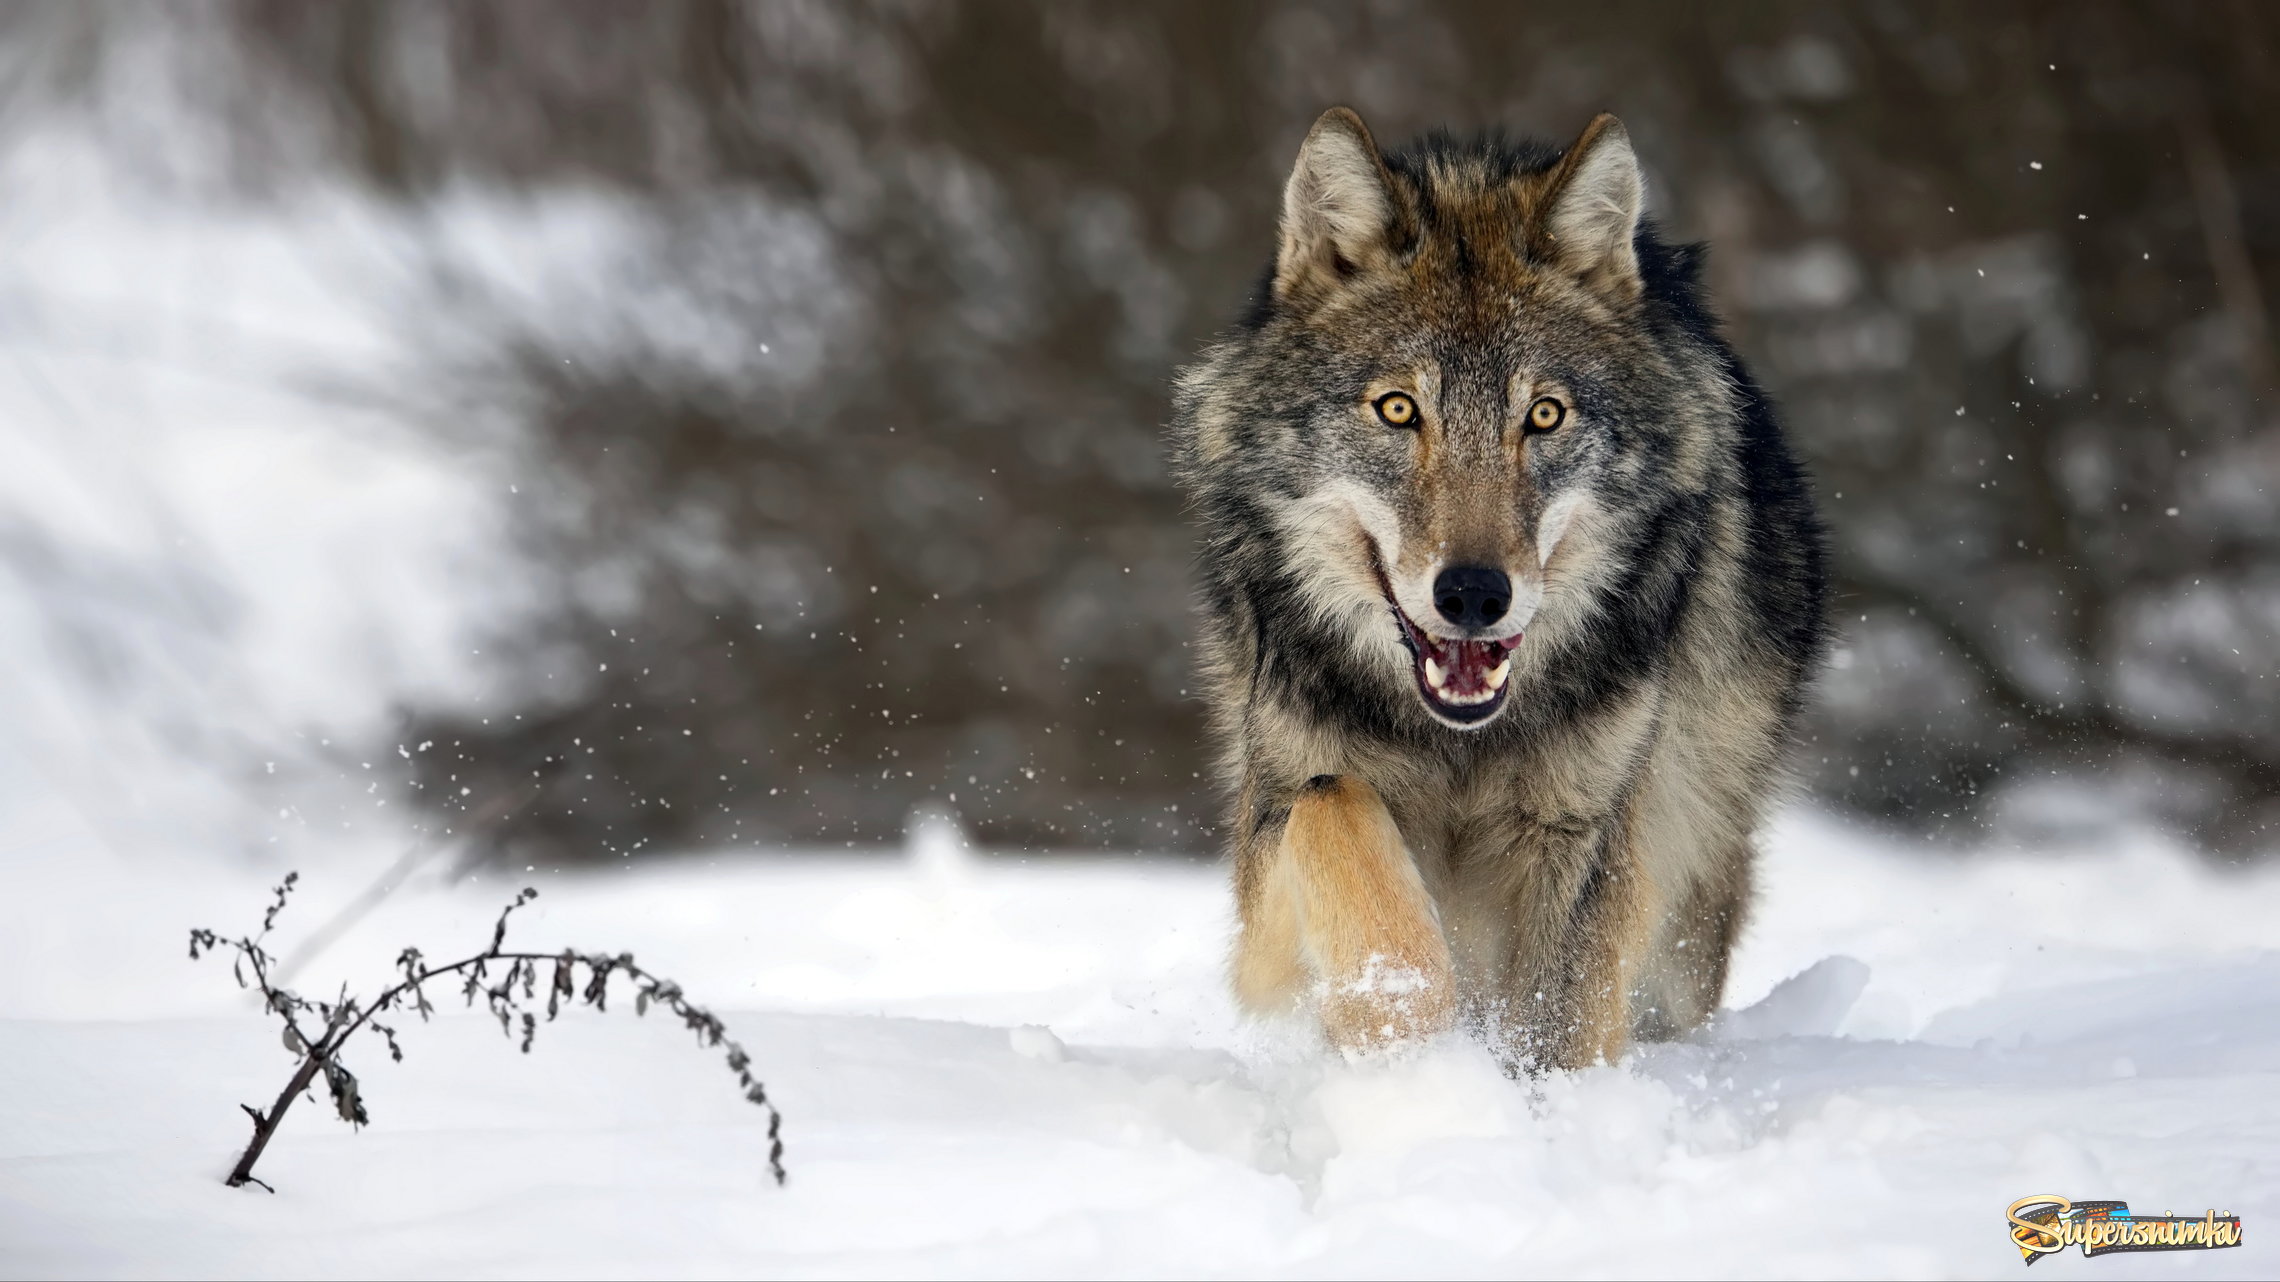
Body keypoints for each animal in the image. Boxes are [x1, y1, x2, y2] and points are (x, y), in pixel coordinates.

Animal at [1176, 109, 1833, 1067]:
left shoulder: (1586, 837)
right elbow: (1336, 810)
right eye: (1399, 409)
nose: (1475, 596)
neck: (1460, 745)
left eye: (1544, 415)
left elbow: (1557, 1031)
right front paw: (1410, 1043)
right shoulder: (1281, 822)